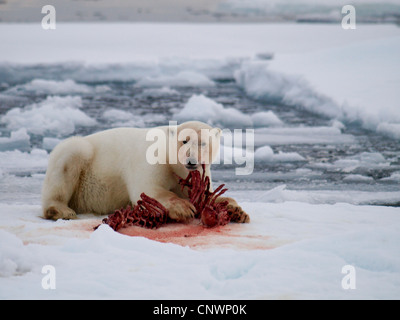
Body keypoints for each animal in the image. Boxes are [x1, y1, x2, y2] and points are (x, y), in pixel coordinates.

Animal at [43, 120, 250, 222]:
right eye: (184, 141)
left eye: (203, 143)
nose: (191, 161)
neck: (173, 162)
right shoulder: (153, 159)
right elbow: (148, 189)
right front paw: (184, 208)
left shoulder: (197, 174)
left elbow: (205, 195)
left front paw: (236, 210)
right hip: (81, 157)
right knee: (70, 159)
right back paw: (60, 210)